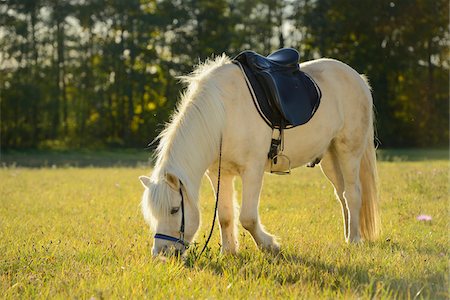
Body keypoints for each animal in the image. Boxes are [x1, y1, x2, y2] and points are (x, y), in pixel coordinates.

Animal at [140, 54, 380, 255]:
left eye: (174, 210)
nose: (161, 253)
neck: (224, 114)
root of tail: (357, 78)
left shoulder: (252, 171)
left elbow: (247, 217)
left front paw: (269, 245)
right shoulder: (220, 173)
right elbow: (225, 216)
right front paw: (229, 252)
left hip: (349, 151)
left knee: (353, 194)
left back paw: (354, 240)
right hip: (331, 157)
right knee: (342, 195)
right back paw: (348, 234)